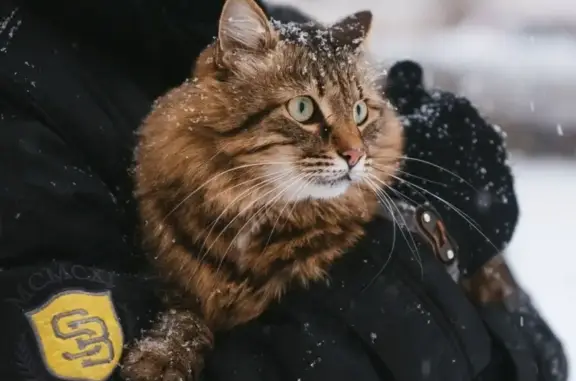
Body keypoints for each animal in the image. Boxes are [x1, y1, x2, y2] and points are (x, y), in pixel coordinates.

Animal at [119, 0, 402, 380]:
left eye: (359, 112)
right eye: (302, 108)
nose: (356, 155)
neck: (257, 207)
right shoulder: (174, 281)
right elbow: (184, 320)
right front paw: (162, 355)